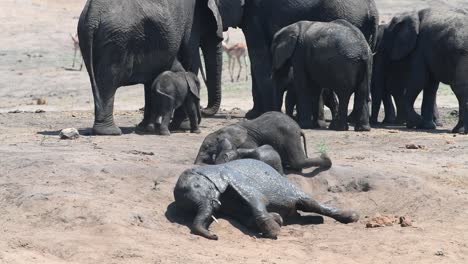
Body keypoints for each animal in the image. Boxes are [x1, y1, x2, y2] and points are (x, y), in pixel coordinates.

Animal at [77, 0, 223, 135]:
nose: (204, 109)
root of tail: (92, 15)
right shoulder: (191, 22)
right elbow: (189, 60)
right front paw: (182, 127)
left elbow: (152, 79)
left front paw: (146, 127)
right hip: (117, 40)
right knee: (108, 82)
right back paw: (110, 132)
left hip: (90, 36)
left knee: (98, 82)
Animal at [174, 158, 360, 240]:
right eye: (189, 209)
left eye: (197, 186)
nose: (215, 236)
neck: (210, 169)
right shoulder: (228, 205)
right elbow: (246, 219)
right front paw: (277, 220)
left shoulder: (236, 178)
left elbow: (257, 200)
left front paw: (274, 232)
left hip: (288, 185)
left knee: (309, 203)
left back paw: (351, 217)